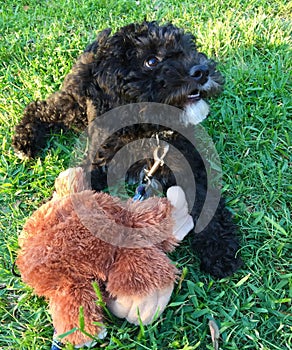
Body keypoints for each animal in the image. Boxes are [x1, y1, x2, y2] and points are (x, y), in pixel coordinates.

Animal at [13, 21, 242, 278]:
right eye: (151, 61)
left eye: (188, 48)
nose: (202, 71)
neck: (147, 129)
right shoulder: (95, 162)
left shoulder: (193, 165)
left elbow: (207, 201)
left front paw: (220, 249)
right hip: (73, 106)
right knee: (40, 107)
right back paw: (24, 141)